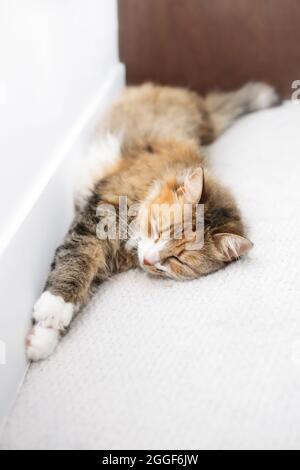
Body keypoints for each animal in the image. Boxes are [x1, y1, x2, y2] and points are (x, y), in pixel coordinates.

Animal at [25, 81, 278, 360]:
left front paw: (42, 338)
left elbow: (82, 286)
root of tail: (202, 110)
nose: (148, 260)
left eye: (178, 260)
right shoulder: (98, 218)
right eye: (159, 231)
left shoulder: (106, 260)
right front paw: (53, 308)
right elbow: (77, 260)